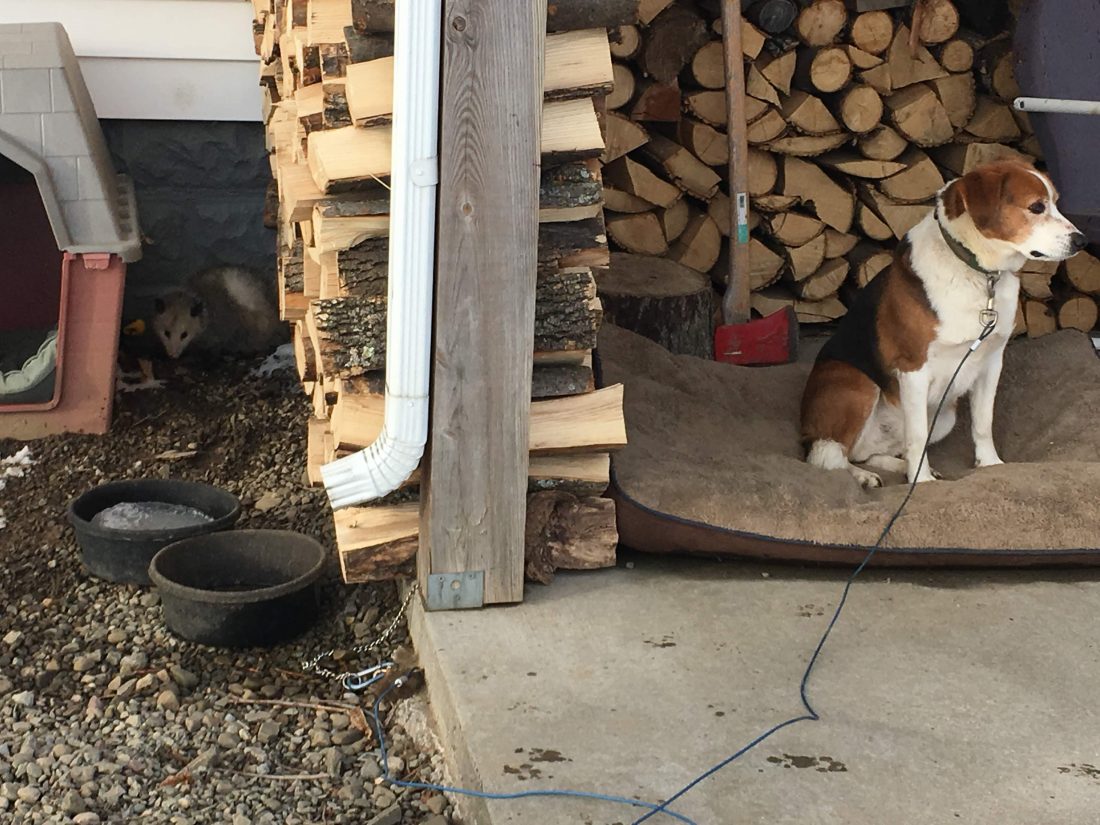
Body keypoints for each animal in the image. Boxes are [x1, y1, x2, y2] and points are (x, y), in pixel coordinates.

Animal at [801, 160, 1086, 488]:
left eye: (1056, 202)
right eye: (1037, 207)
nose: (1082, 241)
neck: (978, 273)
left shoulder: (991, 361)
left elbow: (982, 423)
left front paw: (990, 465)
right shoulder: (913, 370)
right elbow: (916, 437)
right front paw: (922, 482)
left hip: (945, 414)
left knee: (868, 452)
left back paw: (897, 466)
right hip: (857, 383)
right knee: (830, 456)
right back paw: (865, 476)